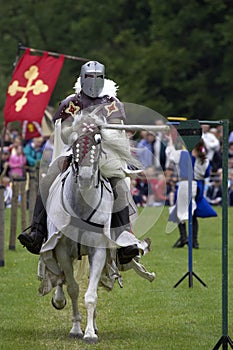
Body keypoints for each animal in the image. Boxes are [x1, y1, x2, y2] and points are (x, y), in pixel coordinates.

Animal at [38, 114, 155, 342]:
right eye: (73, 140)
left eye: (99, 141)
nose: (84, 177)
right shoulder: (62, 249)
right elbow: (73, 288)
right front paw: (76, 328)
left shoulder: (98, 250)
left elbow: (91, 294)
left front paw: (90, 332)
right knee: (59, 276)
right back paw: (59, 299)